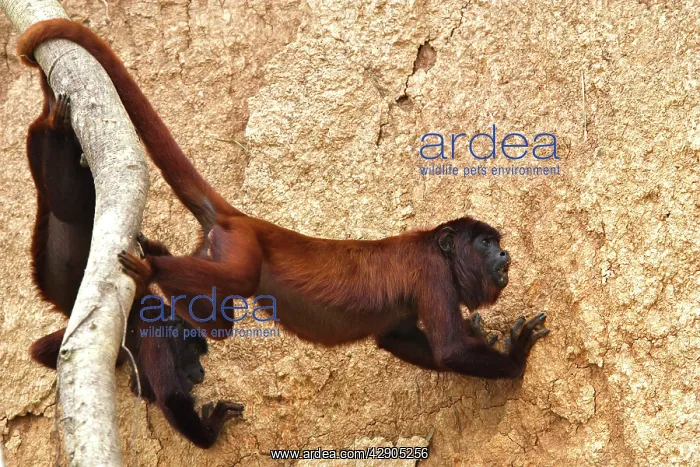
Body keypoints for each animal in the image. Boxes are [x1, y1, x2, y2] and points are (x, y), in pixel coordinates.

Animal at [18, 19, 550, 380]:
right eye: (484, 243)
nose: (504, 254)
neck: (437, 248)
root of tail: (240, 217)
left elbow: (396, 337)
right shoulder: (433, 274)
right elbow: (450, 350)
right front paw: (515, 357)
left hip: (216, 247)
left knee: (220, 324)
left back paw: (157, 259)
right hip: (240, 245)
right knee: (238, 280)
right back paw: (150, 268)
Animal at [24, 68, 243, 448]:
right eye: (194, 353)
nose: (200, 373)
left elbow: (44, 351)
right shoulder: (157, 332)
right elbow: (171, 395)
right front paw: (210, 430)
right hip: (69, 217)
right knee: (66, 199)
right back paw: (56, 127)